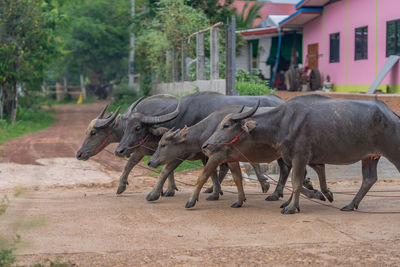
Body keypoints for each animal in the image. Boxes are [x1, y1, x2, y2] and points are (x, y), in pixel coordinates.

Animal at [148, 105, 326, 209]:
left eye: (163, 145)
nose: (150, 162)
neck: (209, 129)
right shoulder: (230, 158)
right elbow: (236, 178)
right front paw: (237, 199)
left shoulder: (217, 155)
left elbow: (203, 176)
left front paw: (192, 200)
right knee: (296, 171)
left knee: (294, 171)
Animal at [203, 95, 394, 215]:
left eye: (226, 125)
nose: (206, 145)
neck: (283, 122)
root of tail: (391, 114)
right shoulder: (302, 159)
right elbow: (304, 180)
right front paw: (321, 193)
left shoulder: (300, 157)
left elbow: (296, 182)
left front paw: (291, 207)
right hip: (369, 157)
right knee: (369, 179)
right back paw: (350, 205)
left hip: (393, 151)